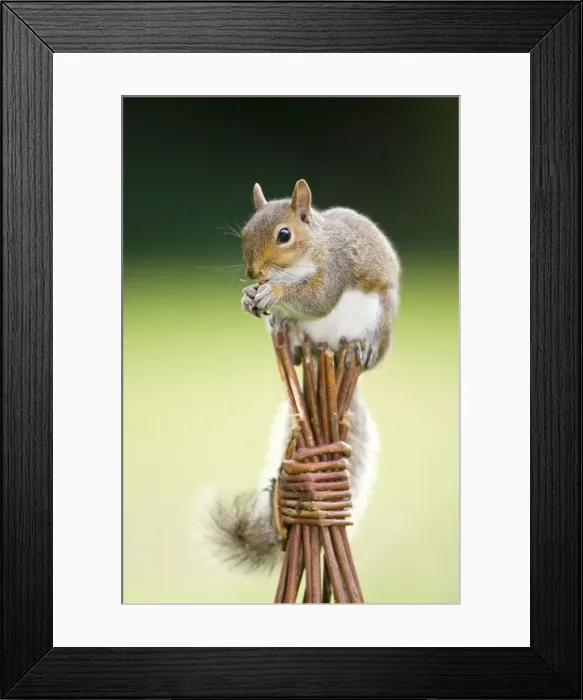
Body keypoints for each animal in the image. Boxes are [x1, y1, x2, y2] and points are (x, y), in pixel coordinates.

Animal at [204, 180, 400, 572]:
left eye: (284, 235)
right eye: (245, 231)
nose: (253, 274)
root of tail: (329, 346)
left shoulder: (336, 268)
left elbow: (318, 298)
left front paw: (274, 292)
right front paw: (249, 296)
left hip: (378, 319)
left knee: (366, 347)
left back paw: (362, 348)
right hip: (301, 338)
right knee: (294, 349)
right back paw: (286, 332)